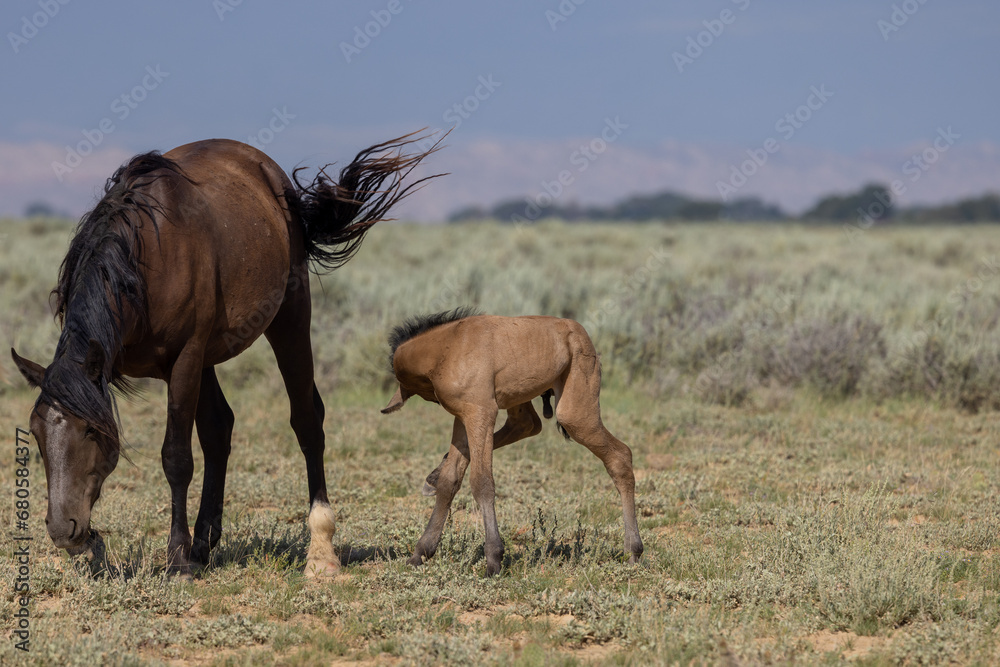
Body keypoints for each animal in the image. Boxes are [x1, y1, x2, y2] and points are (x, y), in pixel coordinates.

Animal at [378, 308, 644, 576]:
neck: (447, 346)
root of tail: (582, 334)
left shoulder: (480, 410)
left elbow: (482, 482)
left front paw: (493, 559)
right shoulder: (463, 414)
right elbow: (450, 480)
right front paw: (421, 552)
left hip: (575, 413)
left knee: (620, 456)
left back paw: (633, 551)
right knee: (527, 424)